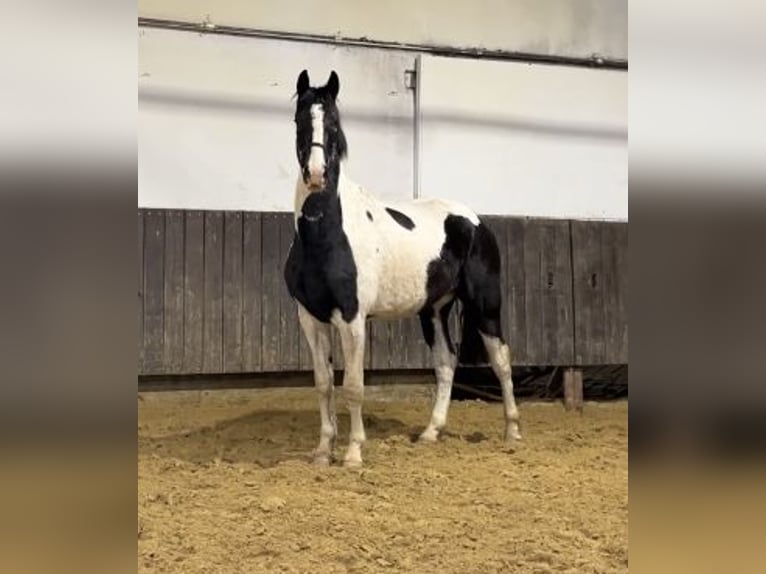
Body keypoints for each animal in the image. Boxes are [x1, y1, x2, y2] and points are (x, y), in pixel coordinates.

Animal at [284, 71, 524, 468]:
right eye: (300, 121)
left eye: (333, 122)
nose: (316, 175)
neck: (326, 233)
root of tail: (474, 221)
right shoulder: (310, 317)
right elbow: (323, 383)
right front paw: (322, 451)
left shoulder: (351, 318)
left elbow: (353, 386)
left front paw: (353, 454)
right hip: (435, 311)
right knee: (446, 363)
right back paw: (430, 433)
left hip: (485, 306)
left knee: (501, 360)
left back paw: (513, 431)